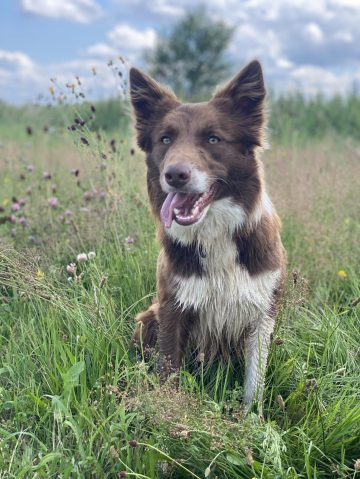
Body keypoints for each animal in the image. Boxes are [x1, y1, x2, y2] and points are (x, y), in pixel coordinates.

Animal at [130, 61, 286, 412]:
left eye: (214, 139)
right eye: (165, 139)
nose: (175, 175)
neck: (214, 233)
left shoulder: (262, 313)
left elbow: (254, 382)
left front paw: (250, 420)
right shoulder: (172, 308)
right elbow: (168, 370)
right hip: (148, 317)